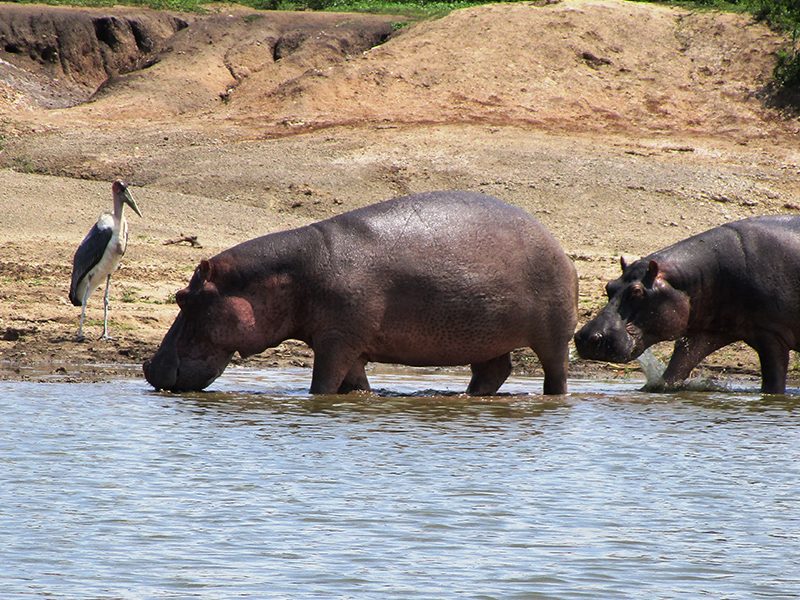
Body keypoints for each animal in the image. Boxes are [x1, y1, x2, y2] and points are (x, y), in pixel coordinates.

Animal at [144, 192, 580, 396]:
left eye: (182, 298)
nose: (149, 367)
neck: (289, 274)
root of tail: (558, 245)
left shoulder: (336, 342)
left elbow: (321, 385)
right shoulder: (347, 343)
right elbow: (356, 385)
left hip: (552, 337)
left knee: (555, 373)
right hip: (486, 338)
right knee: (494, 371)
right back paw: (465, 396)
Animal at [580, 214, 800, 394]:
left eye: (637, 291)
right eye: (610, 285)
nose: (585, 336)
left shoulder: (772, 335)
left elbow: (773, 385)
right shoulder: (708, 331)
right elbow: (675, 370)